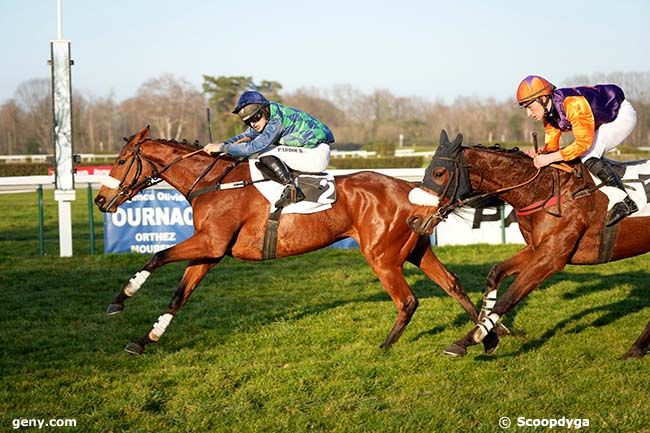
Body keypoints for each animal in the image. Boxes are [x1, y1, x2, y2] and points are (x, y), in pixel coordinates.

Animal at [95, 125, 492, 354]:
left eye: (122, 160)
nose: (100, 200)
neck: (213, 184)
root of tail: (412, 190)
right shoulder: (209, 252)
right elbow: (179, 295)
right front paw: (146, 339)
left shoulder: (210, 243)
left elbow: (156, 256)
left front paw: (120, 300)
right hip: (416, 249)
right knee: (452, 284)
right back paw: (486, 336)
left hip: (381, 255)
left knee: (407, 301)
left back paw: (385, 346)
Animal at [408, 130, 644, 360]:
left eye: (439, 173)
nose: (413, 220)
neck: (543, 189)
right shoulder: (536, 249)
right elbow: (495, 274)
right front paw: (489, 336)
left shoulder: (552, 258)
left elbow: (508, 298)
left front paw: (467, 340)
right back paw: (635, 350)